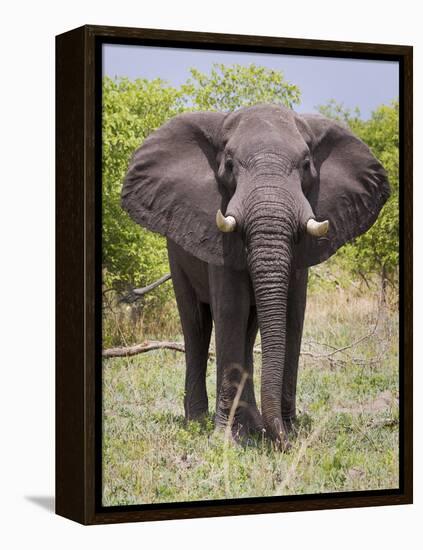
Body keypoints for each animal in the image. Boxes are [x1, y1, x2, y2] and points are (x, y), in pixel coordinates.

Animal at [120, 103, 390, 448]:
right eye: (230, 164)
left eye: (306, 165)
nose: (283, 444)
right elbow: (230, 310)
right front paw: (227, 438)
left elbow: (291, 314)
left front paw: (284, 430)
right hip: (175, 253)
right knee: (195, 324)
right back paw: (198, 422)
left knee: (248, 330)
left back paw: (252, 424)